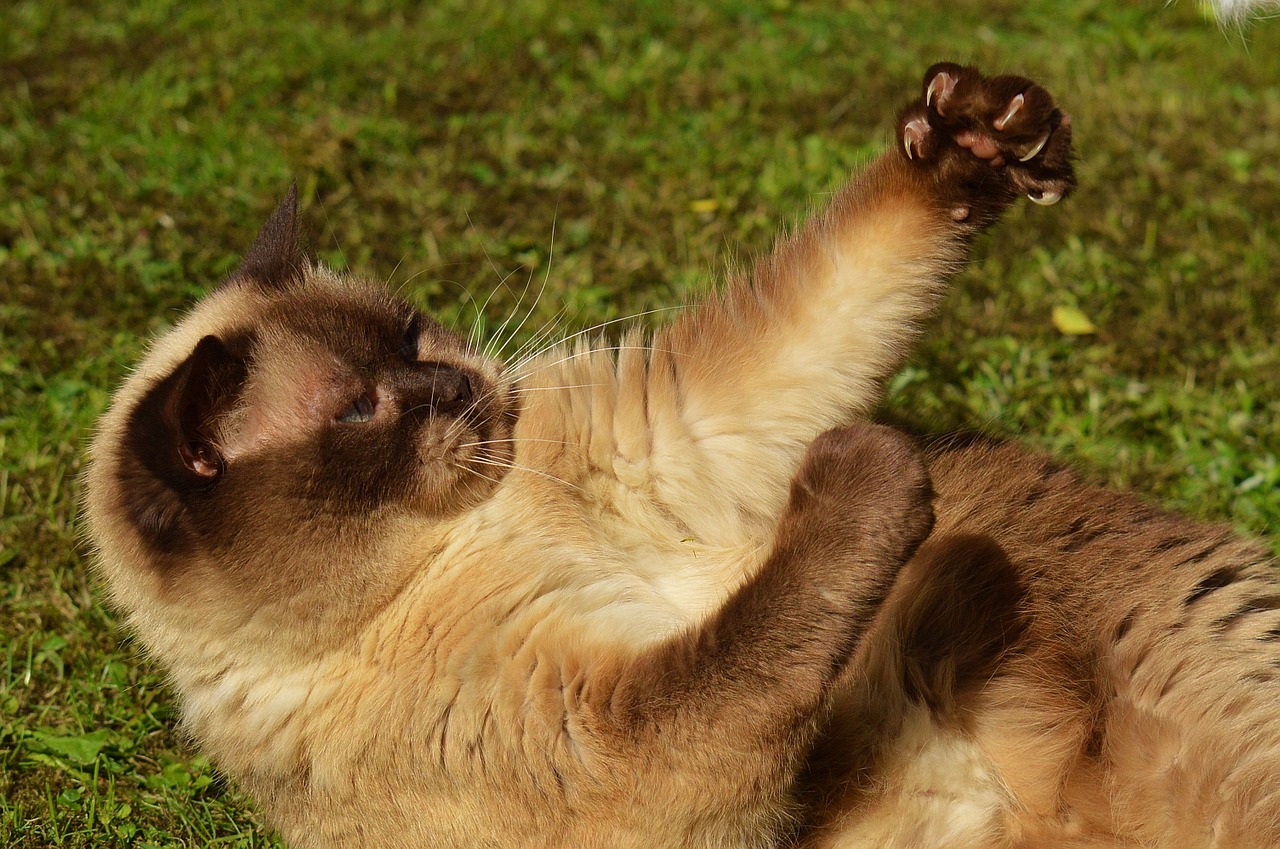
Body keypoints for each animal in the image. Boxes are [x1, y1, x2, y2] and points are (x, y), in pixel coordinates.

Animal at [82, 61, 1280, 849]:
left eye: (415, 334)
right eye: (363, 410)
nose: (461, 389)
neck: (455, 541)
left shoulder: (691, 425)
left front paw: (978, 137)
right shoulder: (625, 753)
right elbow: (741, 651)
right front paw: (868, 463)